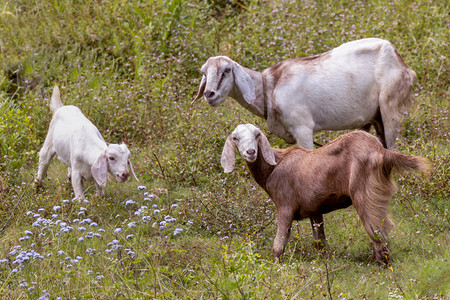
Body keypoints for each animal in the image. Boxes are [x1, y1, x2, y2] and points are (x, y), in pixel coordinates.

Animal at [221, 123, 428, 264]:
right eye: (235, 138)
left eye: (257, 135)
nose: (250, 152)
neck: (275, 165)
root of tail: (382, 152)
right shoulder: (314, 208)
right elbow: (319, 241)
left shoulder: (285, 205)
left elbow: (278, 245)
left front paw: (277, 267)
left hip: (365, 193)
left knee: (377, 230)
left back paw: (381, 265)